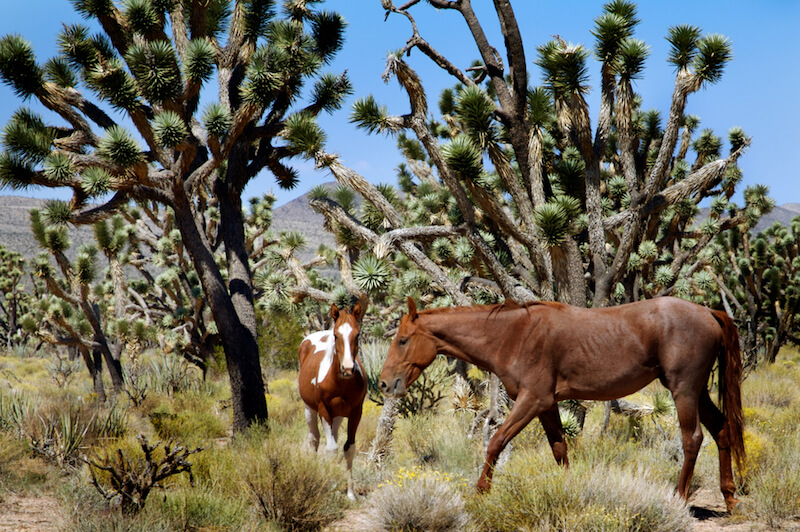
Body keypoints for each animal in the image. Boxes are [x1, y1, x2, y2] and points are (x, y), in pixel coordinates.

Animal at [298, 302, 368, 500]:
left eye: (357, 334)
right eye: (336, 335)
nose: (348, 369)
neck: (340, 382)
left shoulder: (356, 412)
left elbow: (348, 448)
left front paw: (350, 493)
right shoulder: (324, 410)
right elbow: (330, 449)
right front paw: (329, 489)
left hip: (337, 416)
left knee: (334, 438)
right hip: (310, 410)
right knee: (314, 440)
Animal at [378, 298, 748, 510]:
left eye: (403, 340)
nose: (383, 383)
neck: (514, 335)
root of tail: (708, 311)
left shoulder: (532, 400)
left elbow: (495, 442)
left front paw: (480, 492)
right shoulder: (546, 406)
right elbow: (559, 450)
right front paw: (570, 490)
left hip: (684, 390)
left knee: (692, 439)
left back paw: (680, 498)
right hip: (698, 392)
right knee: (721, 430)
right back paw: (729, 498)